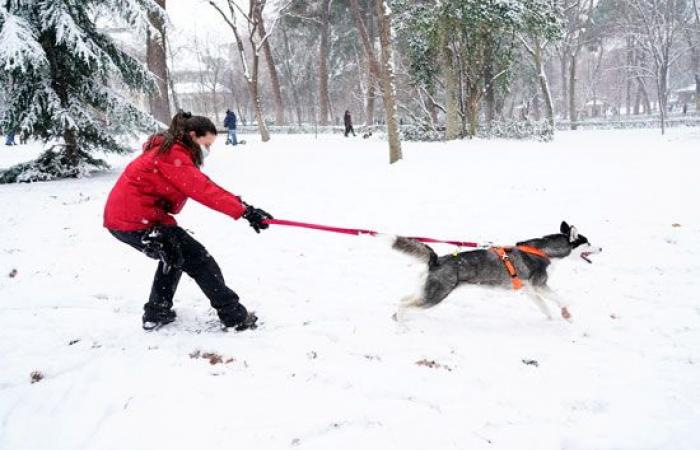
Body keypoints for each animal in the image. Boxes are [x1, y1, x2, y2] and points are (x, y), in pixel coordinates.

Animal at [394, 221, 600, 320]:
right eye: (588, 242)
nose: (601, 248)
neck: (544, 250)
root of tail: (435, 260)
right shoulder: (540, 285)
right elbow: (561, 299)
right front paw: (567, 312)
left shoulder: (530, 290)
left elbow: (544, 306)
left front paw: (552, 319)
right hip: (436, 295)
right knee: (405, 305)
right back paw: (402, 325)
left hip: (427, 290)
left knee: (403, 300)